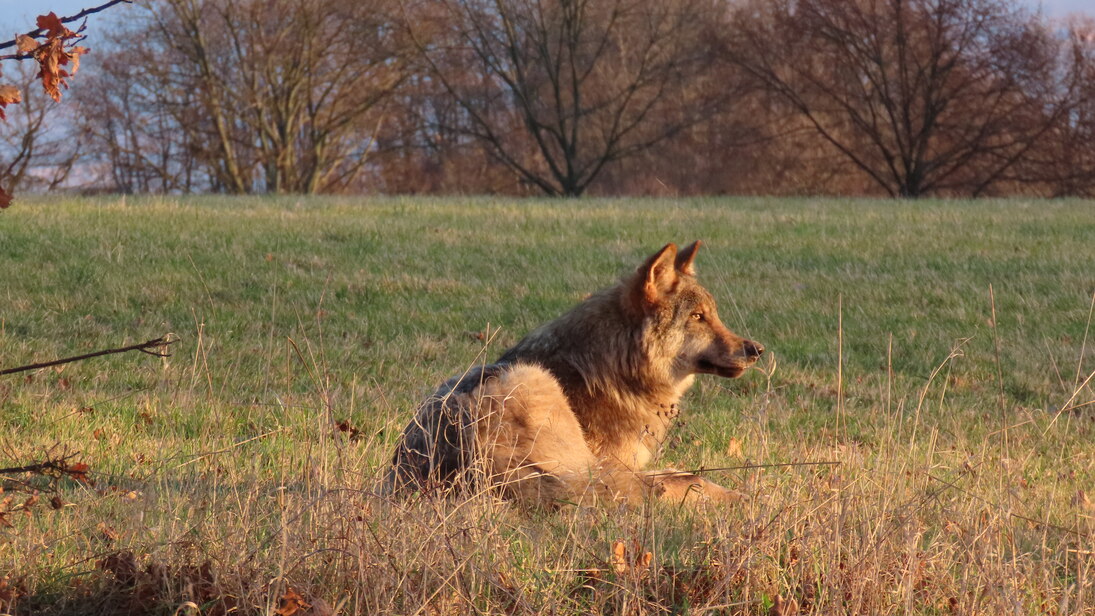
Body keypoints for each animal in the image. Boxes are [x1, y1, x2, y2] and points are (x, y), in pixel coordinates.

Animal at [384, 241, 764, 507]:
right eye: (698, 317)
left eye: (714, 315)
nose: (756, 349)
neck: (617, 363)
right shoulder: (609, 467)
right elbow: (680, 479)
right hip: (534, 387)